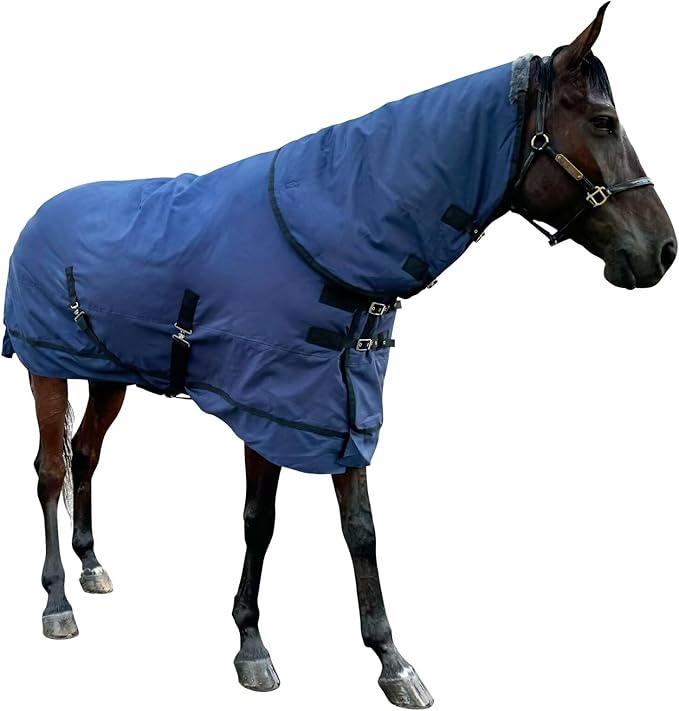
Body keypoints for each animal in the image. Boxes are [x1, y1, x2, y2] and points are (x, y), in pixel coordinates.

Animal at [2, 3, 676, 708]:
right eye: (603, 122)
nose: (662, 250)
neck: (328, 232)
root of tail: (39, 214)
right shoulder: (269, 409)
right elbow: (260, 521)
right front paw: (252, 646)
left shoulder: (342, 408)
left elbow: (361, 529)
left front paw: (392, 661)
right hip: (45, 367)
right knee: (50, 470)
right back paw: (56, 602)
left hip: (110, 375)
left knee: (85, 455)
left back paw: (91, 565)